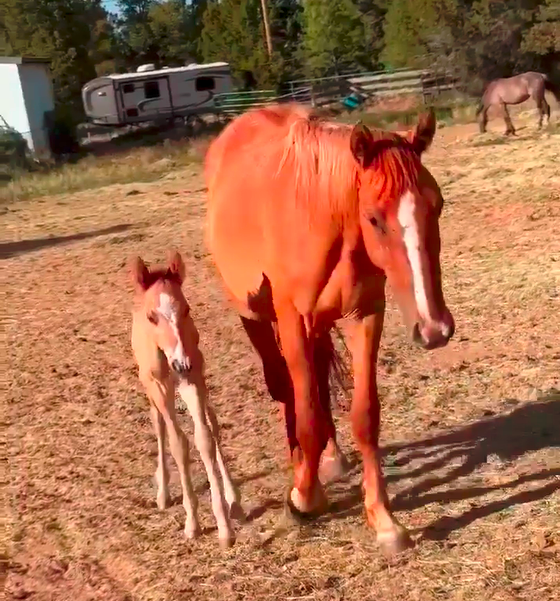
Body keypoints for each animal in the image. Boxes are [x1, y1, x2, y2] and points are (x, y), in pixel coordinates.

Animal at [130, 251, 242, 548]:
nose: (181, 364)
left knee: (212, 424)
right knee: (159, 426)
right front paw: (192, 522)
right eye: (152, 317)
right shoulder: (160, 387)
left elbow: (204, 439)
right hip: (152, 388)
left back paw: (234, 500)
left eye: (187, 309)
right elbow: (178, 444)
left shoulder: (192, 380)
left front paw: (224, 525)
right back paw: (163, 494)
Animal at [206, 104, 456, 556]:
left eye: (438, 205)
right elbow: (305, 412)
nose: (435, 328)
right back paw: (302, 463)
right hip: (256, 319)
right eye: (374, 217)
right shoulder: (292, 322)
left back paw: (330, 457)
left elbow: (364, 414)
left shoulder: (365, 316)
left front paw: (384, 521)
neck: (324, 217)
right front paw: (303, 497)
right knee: (287, 388)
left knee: (320, 385)